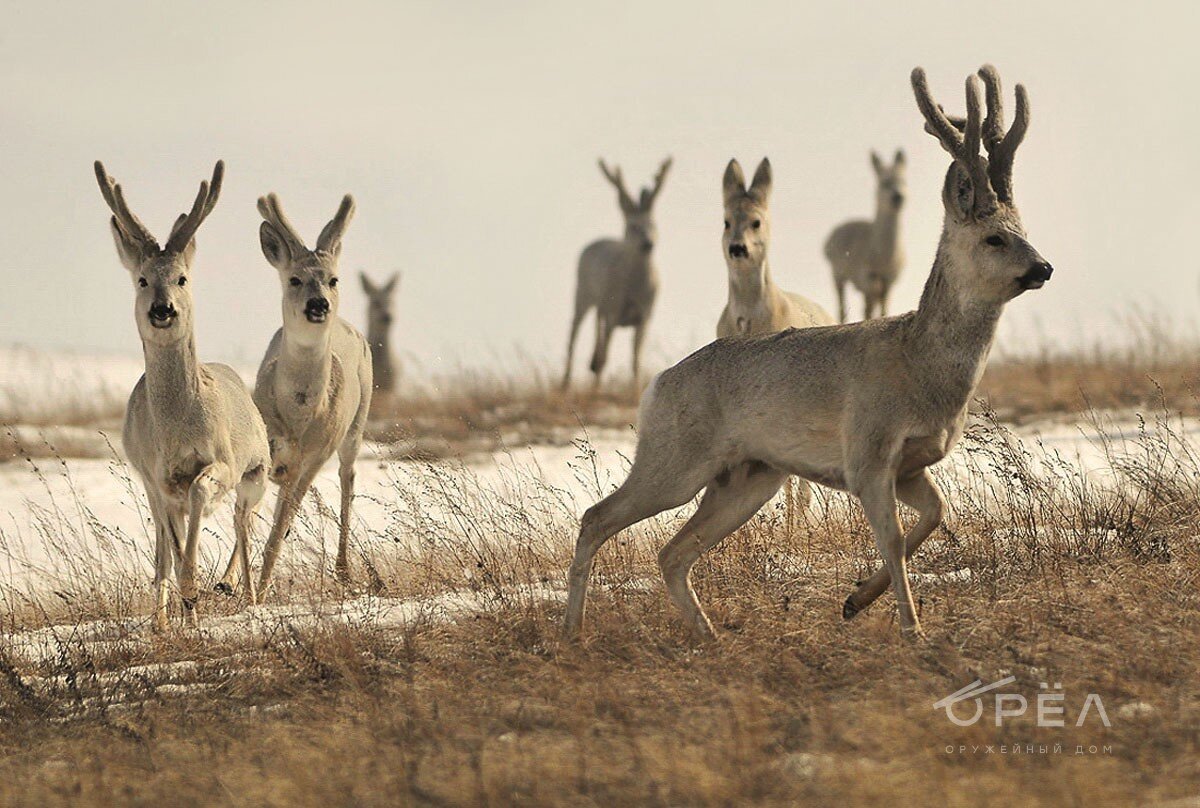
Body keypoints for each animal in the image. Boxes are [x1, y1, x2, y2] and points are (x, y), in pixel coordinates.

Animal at [94, 159, 272, 629]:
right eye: (141, 280)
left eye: (182, 278)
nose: (163, 309)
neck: (178, 428)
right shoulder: (157, 478)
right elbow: (173, 553)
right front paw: (186, 609)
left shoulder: (223, 462)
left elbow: (198, 499)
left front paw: (197, 597)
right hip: (150, 486)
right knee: (162, 550)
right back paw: (165, 619)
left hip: (257, 473)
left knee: (243, 525)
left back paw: (247, 596)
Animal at [249, 189, 369, 595]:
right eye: (295, 279)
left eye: (333, 279)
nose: (319, 304)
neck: (298, 414)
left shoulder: (312, 457)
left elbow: (278, 531)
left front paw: (257, 591)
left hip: (354, 427)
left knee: (347, 480)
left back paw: (344, 569)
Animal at [559, 157, 672, 391]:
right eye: (632, 225)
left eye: (653, 224)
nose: (648, 244)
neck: (635, 286)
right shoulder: (613, 310)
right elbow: (605, 356)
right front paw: (595, 391)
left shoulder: (645, 314)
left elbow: (636, 357)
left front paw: (636, 387)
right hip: (582, 293)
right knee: (575, 332)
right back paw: (565, 383)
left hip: (600, 307)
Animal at [825, 149, 907, 319]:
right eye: (884, 183)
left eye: (904, 181)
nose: (898, 197)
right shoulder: (867, 276)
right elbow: (868, 311)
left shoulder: (889, 280)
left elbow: (883, 310)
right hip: (837, 274)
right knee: (843, 308)